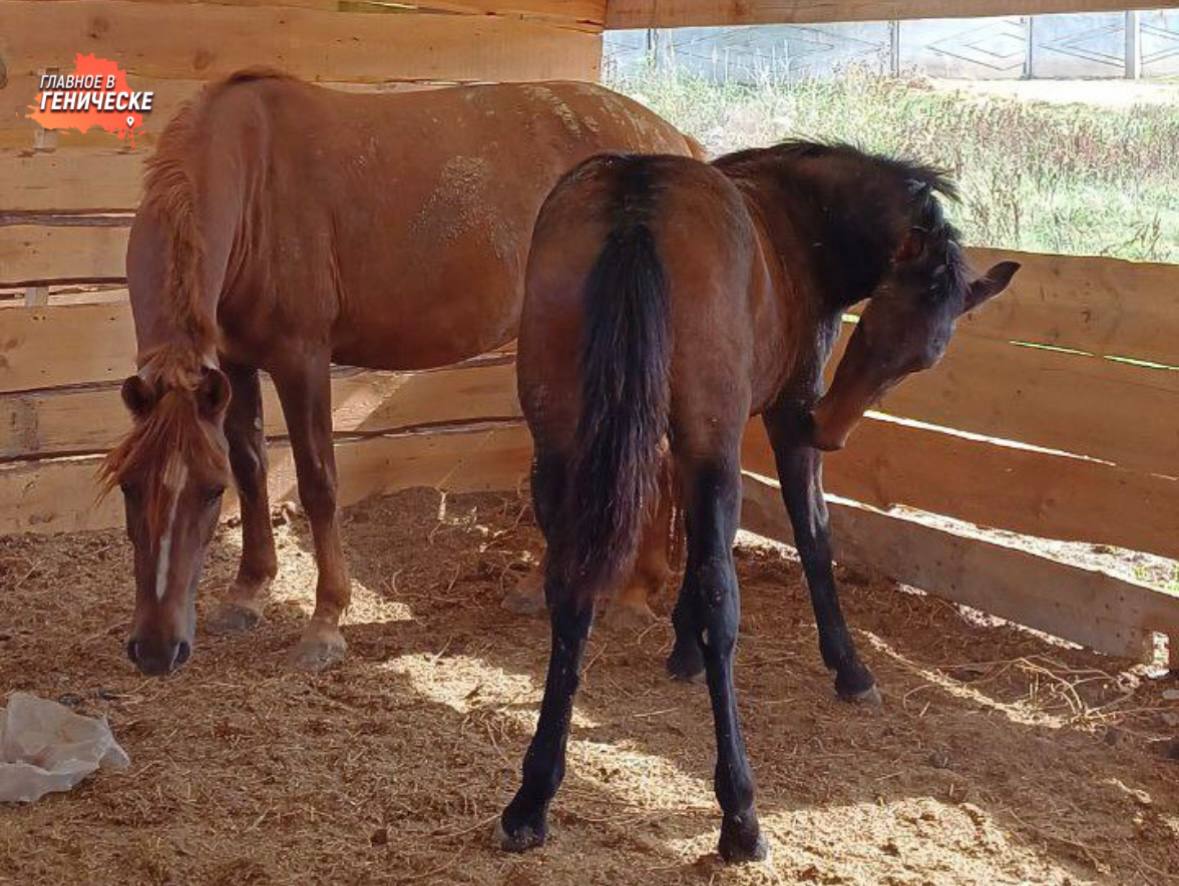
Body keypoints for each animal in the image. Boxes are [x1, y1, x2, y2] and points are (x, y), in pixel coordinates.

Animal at [101, 71, 693, 679]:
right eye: (129, 485)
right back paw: (550, 588)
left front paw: (326, 622)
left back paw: (635, 596)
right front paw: (247, 592)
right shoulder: (235, 361)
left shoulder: (301, 358)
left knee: (658, 454)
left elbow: (317, 483)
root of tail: (675, 140)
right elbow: (251, 466)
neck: (254, 182)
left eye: (208, 492)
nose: (156, 650)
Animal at [497, 143, 1013, 858]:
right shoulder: (775, 421)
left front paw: (680, 649)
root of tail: (637, 196)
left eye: (922, 358)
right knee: (724, 599)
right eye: (876, 323)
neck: (797, 214)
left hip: (562, 449)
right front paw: (850, 669)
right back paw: (740, 816)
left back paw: (533, 798)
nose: (828, 430)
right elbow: (812, 537)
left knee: (570, 591)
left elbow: (690, 536)